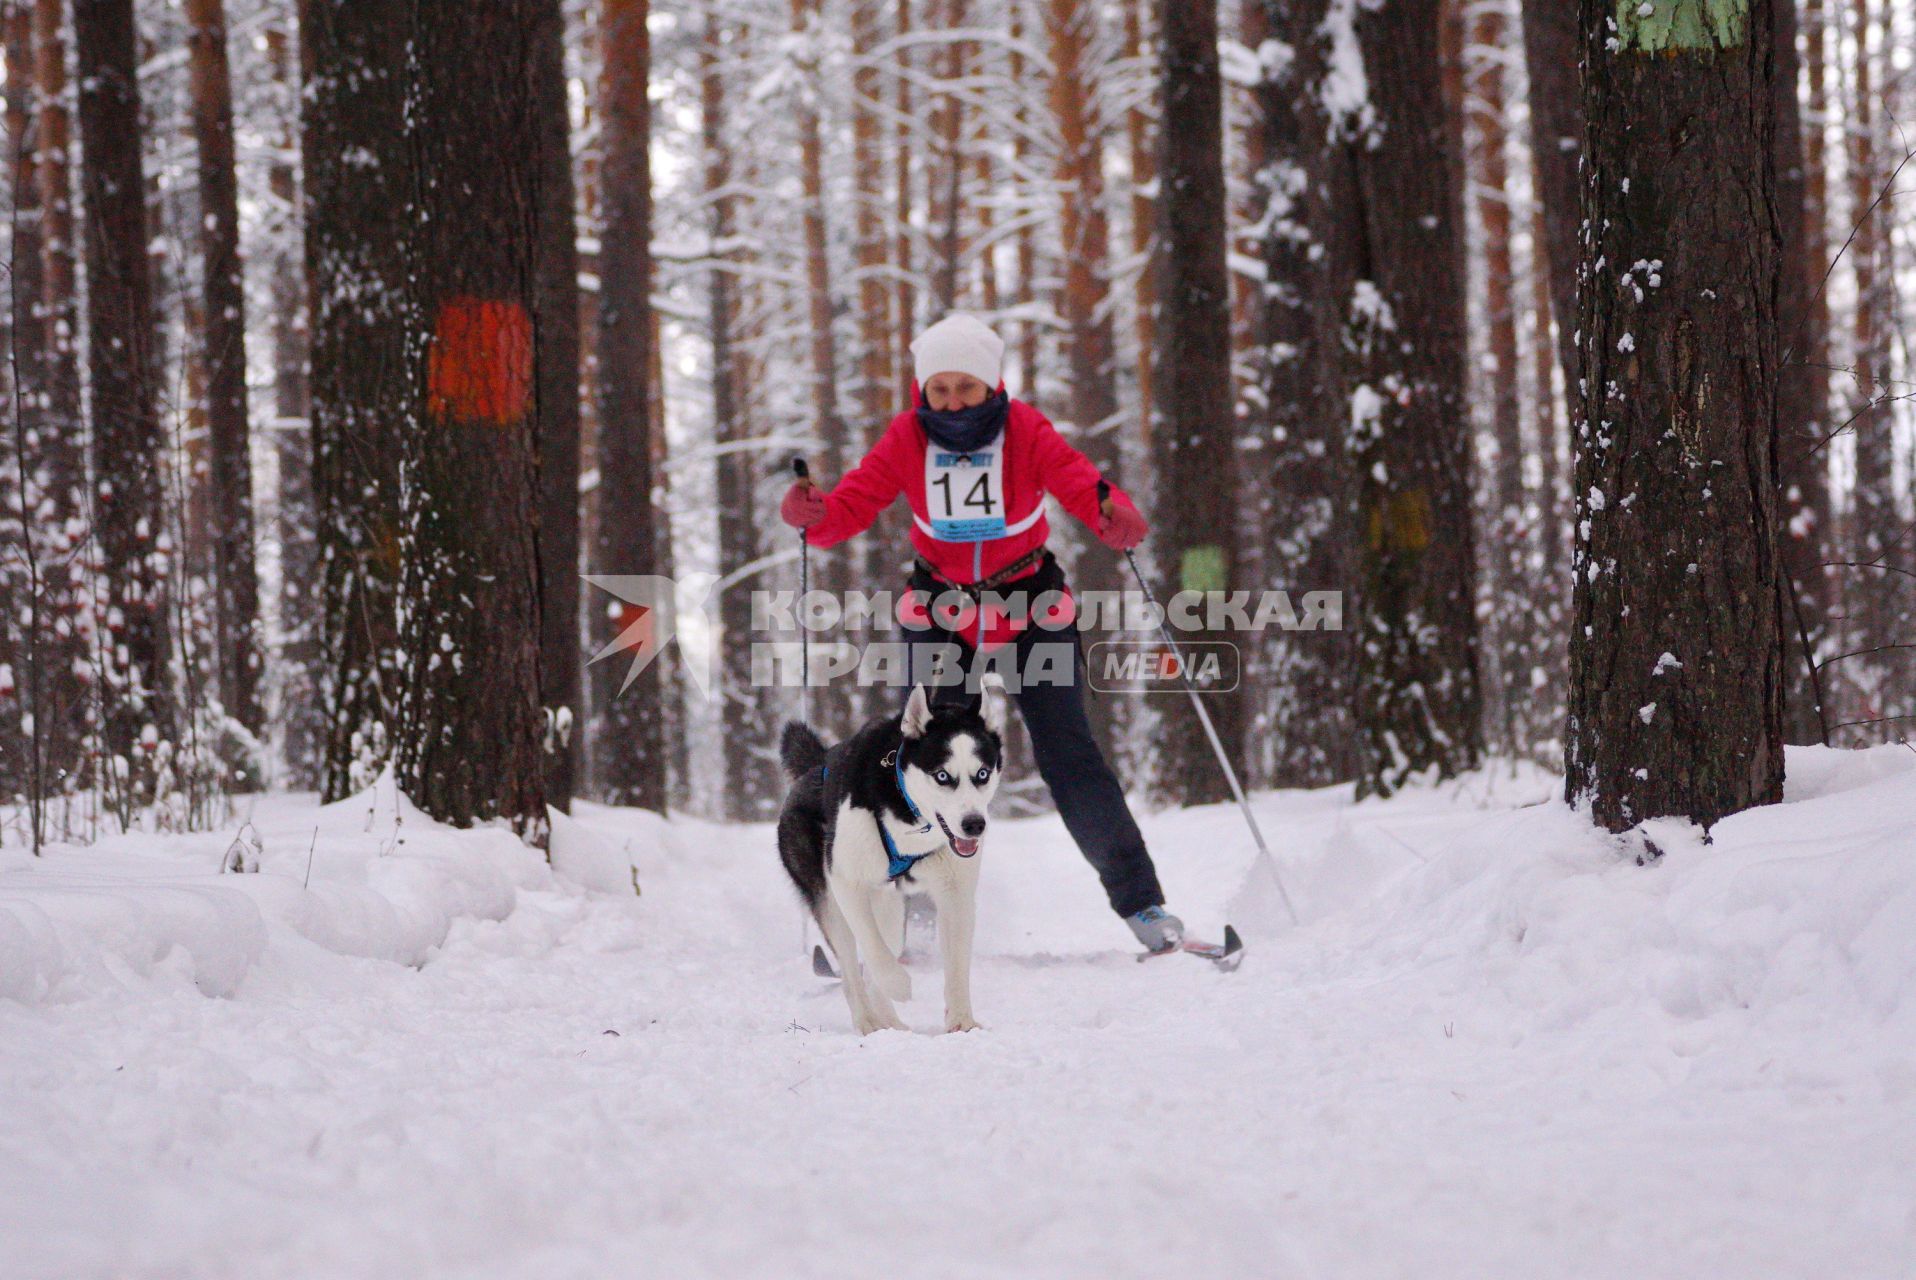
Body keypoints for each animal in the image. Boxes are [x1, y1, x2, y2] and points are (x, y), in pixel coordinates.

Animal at [781, 685, 1011, 1034]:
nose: (974, 824)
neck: (910, 812)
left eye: (982, 774)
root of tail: (815, 766)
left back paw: (889, 1022)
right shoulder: (847, 881)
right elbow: (873, 948)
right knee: (853, 971)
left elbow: (957, 966)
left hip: (889, 905)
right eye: (942, 776)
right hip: (830, 900)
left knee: (881, 954)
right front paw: (898, 984)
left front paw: (962, 1023)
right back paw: (869, 1022)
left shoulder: (955, 894)